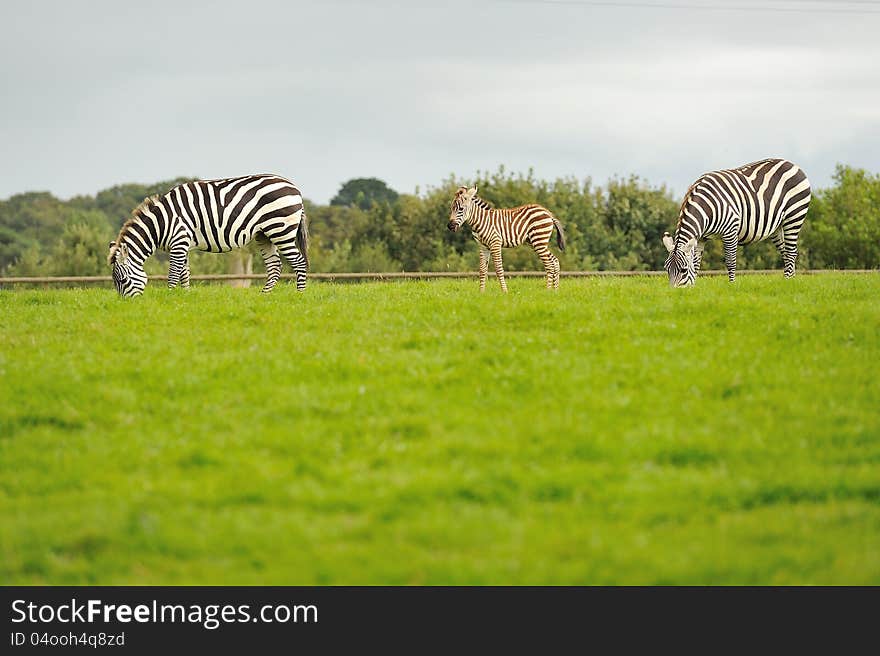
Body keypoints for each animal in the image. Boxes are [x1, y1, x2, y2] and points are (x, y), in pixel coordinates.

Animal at [107, 174, 310, 298]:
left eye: (122, 281)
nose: (127, 305)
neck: (162, 222)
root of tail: (295, 188)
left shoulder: (179, 241)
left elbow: (174, 273)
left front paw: (170, 296)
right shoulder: (182, 244)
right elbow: (185, 273)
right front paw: (184, 297)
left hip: (281, 230)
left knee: (299, 262)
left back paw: (299, 295)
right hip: (265, 235)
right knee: (275, 266)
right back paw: (264, 296)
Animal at [660, 159, 812, 288]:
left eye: (683, 270)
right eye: (666, 269)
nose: (674, 292)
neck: (706, 207)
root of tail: (792, 164)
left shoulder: (730, 230)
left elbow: (730, 261)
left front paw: (732, 285)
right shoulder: (701, 237)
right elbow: (696, 263)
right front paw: (693, 287)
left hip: (794, 216)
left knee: (791, 252)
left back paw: (787, 281)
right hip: (777, 226)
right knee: (787, 252)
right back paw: (791, 281)